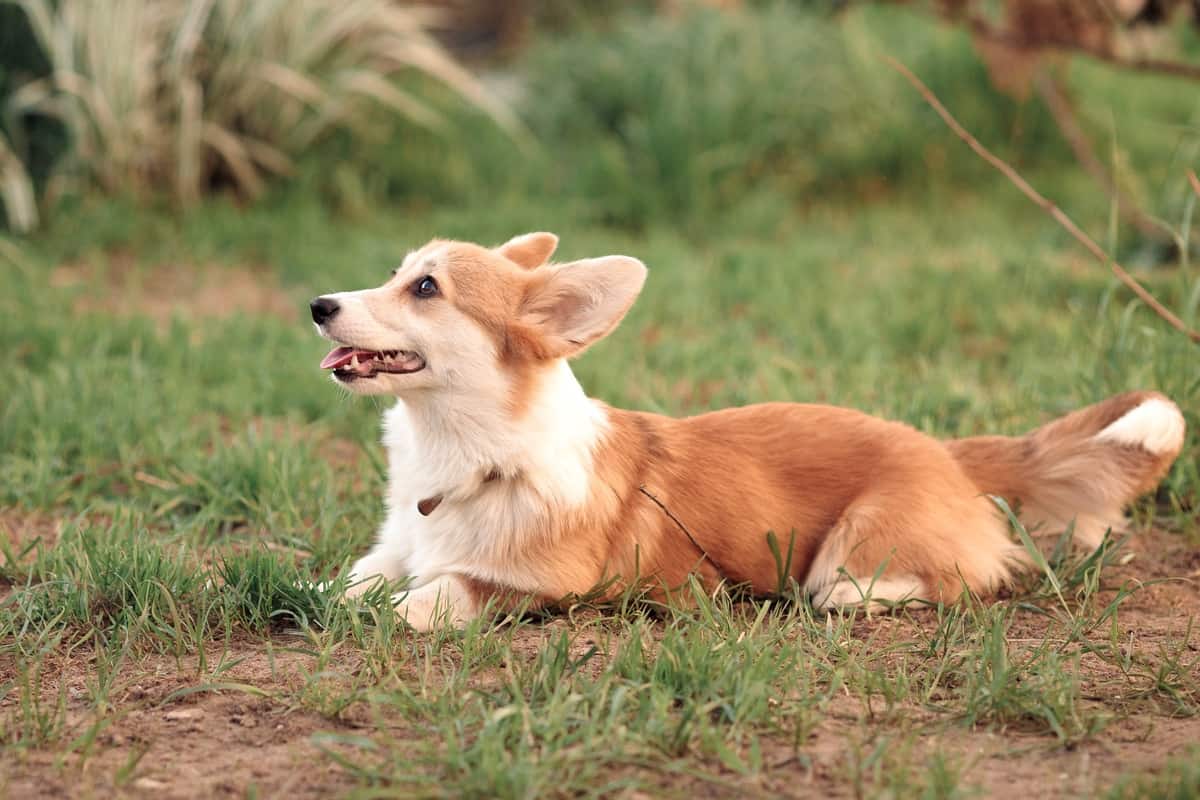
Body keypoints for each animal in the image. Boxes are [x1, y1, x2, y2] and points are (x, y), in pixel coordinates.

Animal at [312, 231, 1190, 633]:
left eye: (427, 289)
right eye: (395, 274)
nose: (319, 304)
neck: (464, 452)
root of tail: (946, 452)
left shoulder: (548, 586)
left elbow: (444, 590)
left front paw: (392, 609)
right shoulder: (398, 545)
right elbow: (356, 580)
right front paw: (320, 593)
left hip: (858, 542)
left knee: (953, 575)